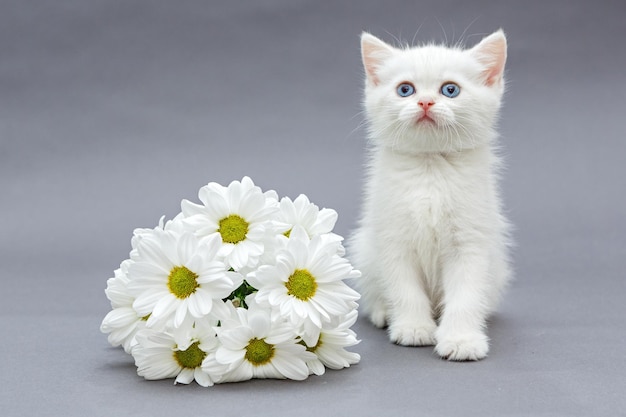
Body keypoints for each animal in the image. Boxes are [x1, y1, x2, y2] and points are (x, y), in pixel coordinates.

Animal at [348, 30, 510, 360]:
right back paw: (384, 313)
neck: (430, 167)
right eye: (405, 89)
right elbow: (404, 289)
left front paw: (462, 340)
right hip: (364, 250)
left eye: (450, 90)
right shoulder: (393, 239)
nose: (425, 101)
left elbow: (466, 294)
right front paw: (413, 328)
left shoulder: (471, 242)